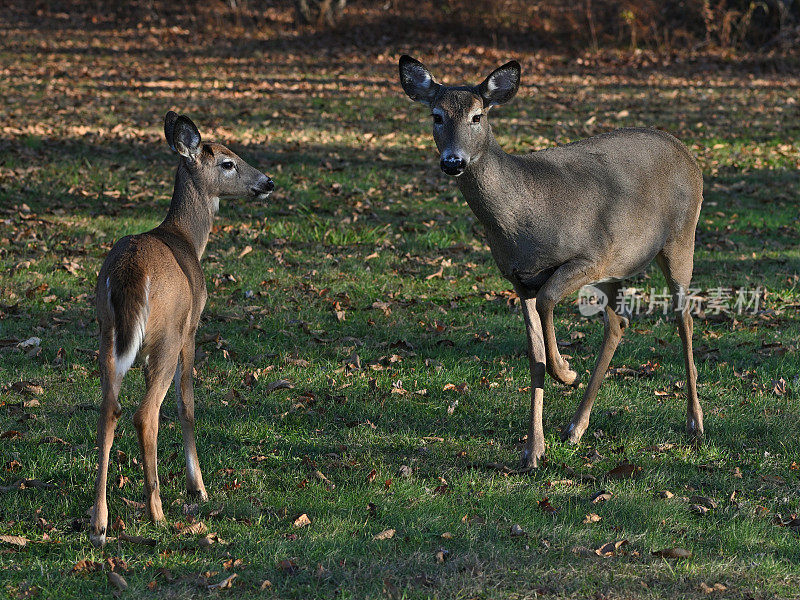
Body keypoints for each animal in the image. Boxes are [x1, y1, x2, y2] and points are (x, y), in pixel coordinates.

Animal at [89, 110, 274, 548]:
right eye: (228, 162)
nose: (267, 183)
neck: (189, 237)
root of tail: (130, 272)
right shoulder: (192, 327)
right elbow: (187, 404)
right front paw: (198, 487)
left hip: (107, 331)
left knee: (109, 408)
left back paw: (99, 523)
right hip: (166, 336)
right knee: (146, 413)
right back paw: (156, 512)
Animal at [396, 56, 704, 468]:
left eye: (478, 116)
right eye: (436, 115)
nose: (453, 162)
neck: (522, 217)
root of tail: (686, 151)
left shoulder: (588, 256)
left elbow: (548, 304)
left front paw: (567, 373)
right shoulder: (517, 278)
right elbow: (534, 355)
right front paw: (533, 450)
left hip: (679, 239)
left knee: (684, 318)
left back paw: (695, 423)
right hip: (618, 264)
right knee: (619, 323)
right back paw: (575, 428)